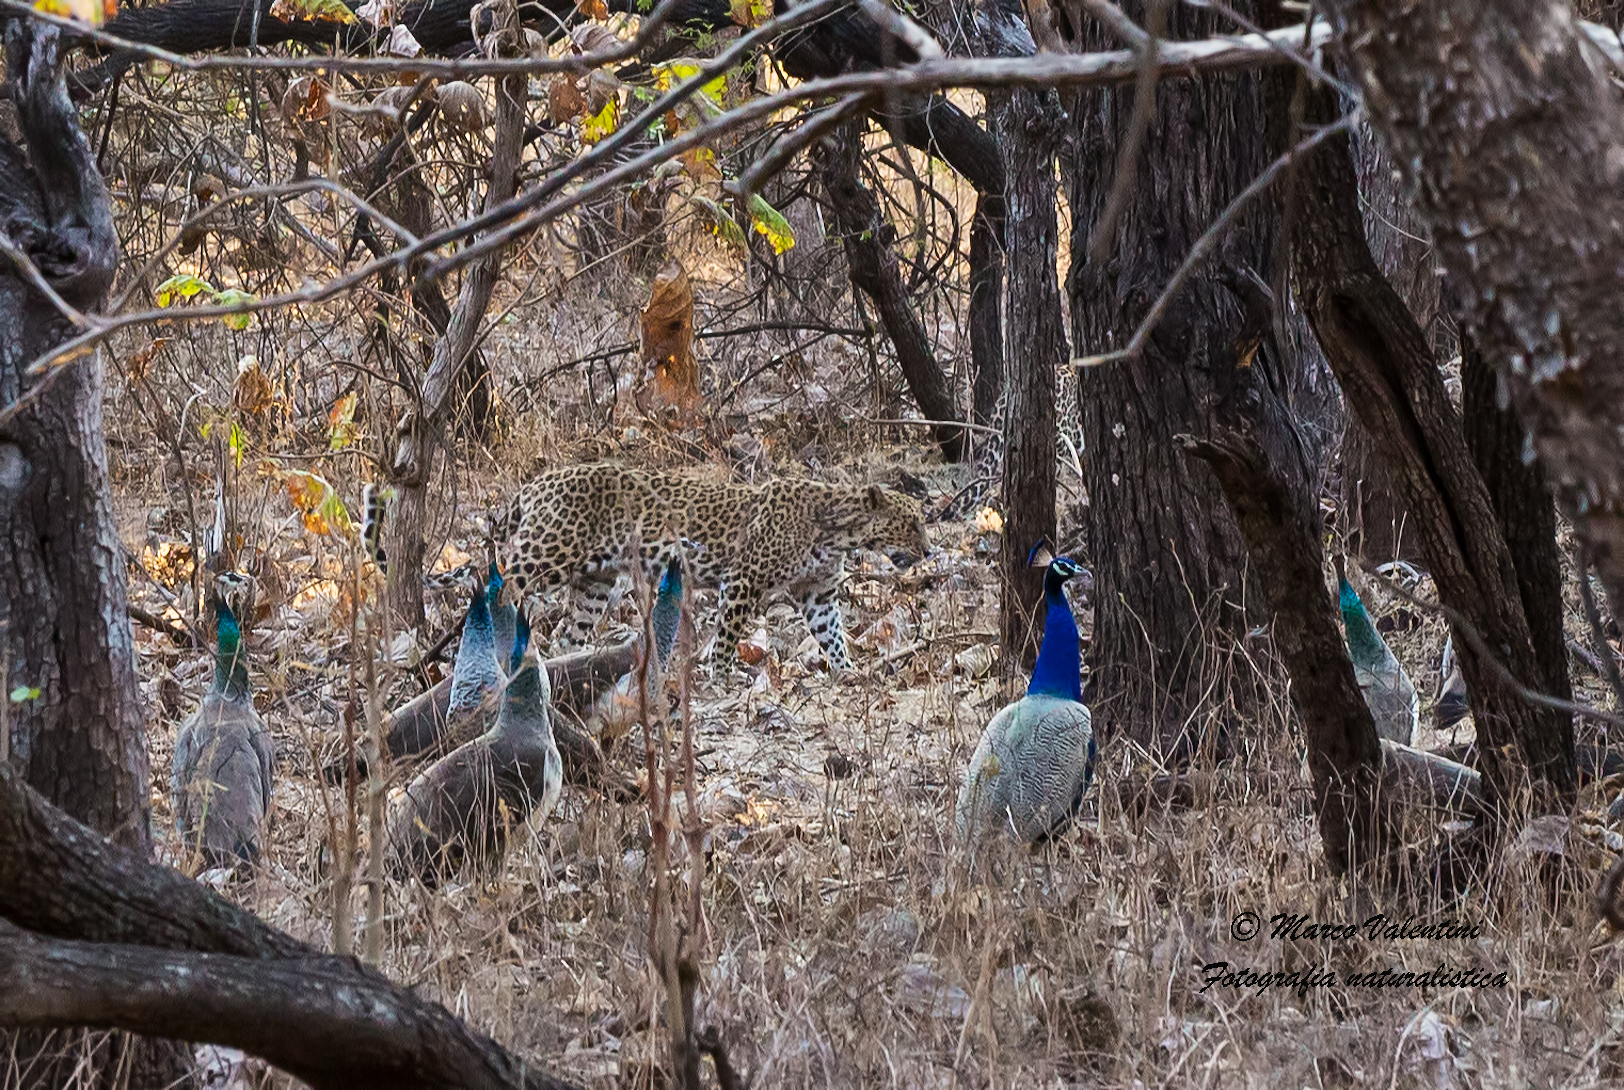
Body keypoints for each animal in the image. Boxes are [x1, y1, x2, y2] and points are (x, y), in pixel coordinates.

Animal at [447, 463, 931, 672]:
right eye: (912, 523)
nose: (929, 551)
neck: (837, 533)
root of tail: (538, 482)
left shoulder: (818, 594)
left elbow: (832, 635)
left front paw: (848, 672)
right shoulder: (742, 580)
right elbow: (728, 636)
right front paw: (721, 676)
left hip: (594, 584)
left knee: (571, 630)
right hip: (547, 553)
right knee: (502, 584)